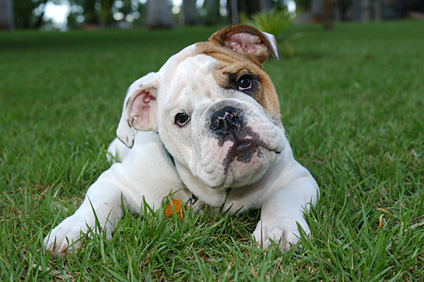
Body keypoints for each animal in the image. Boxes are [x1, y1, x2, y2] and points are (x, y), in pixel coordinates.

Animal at [44, 24, 320, 256]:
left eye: (245, 81)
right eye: (181, 118)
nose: (224, 117)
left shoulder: (296, 178)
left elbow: (281, 199)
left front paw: (278, 229)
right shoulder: (116, 179)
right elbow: (97, 204)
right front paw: (73, 231)